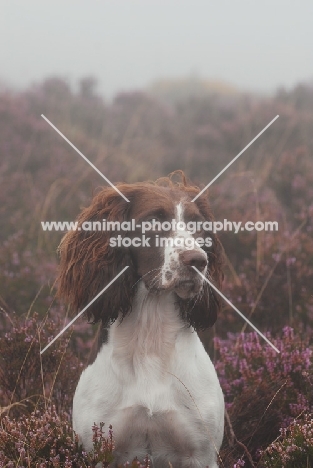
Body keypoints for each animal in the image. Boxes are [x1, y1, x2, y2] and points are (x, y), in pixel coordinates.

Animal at [57, 172, 223, 468]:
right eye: (154, 221)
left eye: (197, 224)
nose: (198, 260)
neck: (150, 335)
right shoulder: (99, 450)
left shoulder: (201, 455)